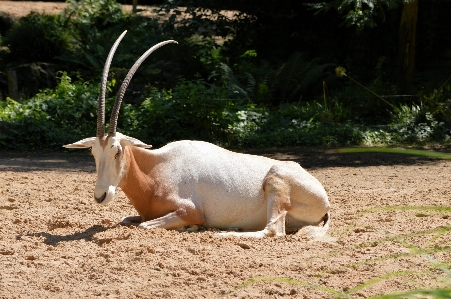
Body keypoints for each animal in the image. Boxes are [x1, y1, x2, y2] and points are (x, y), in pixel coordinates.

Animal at [64, 31, 332, 239]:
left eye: (117, 151)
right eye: (93, 152)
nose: (100, 196)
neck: (156, 170)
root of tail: (324, 198)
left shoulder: (190, 210)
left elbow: (145, 226)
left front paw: (192, 227)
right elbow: (127, 220)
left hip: (276, 183)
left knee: (273, 231)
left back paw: (226, 232)